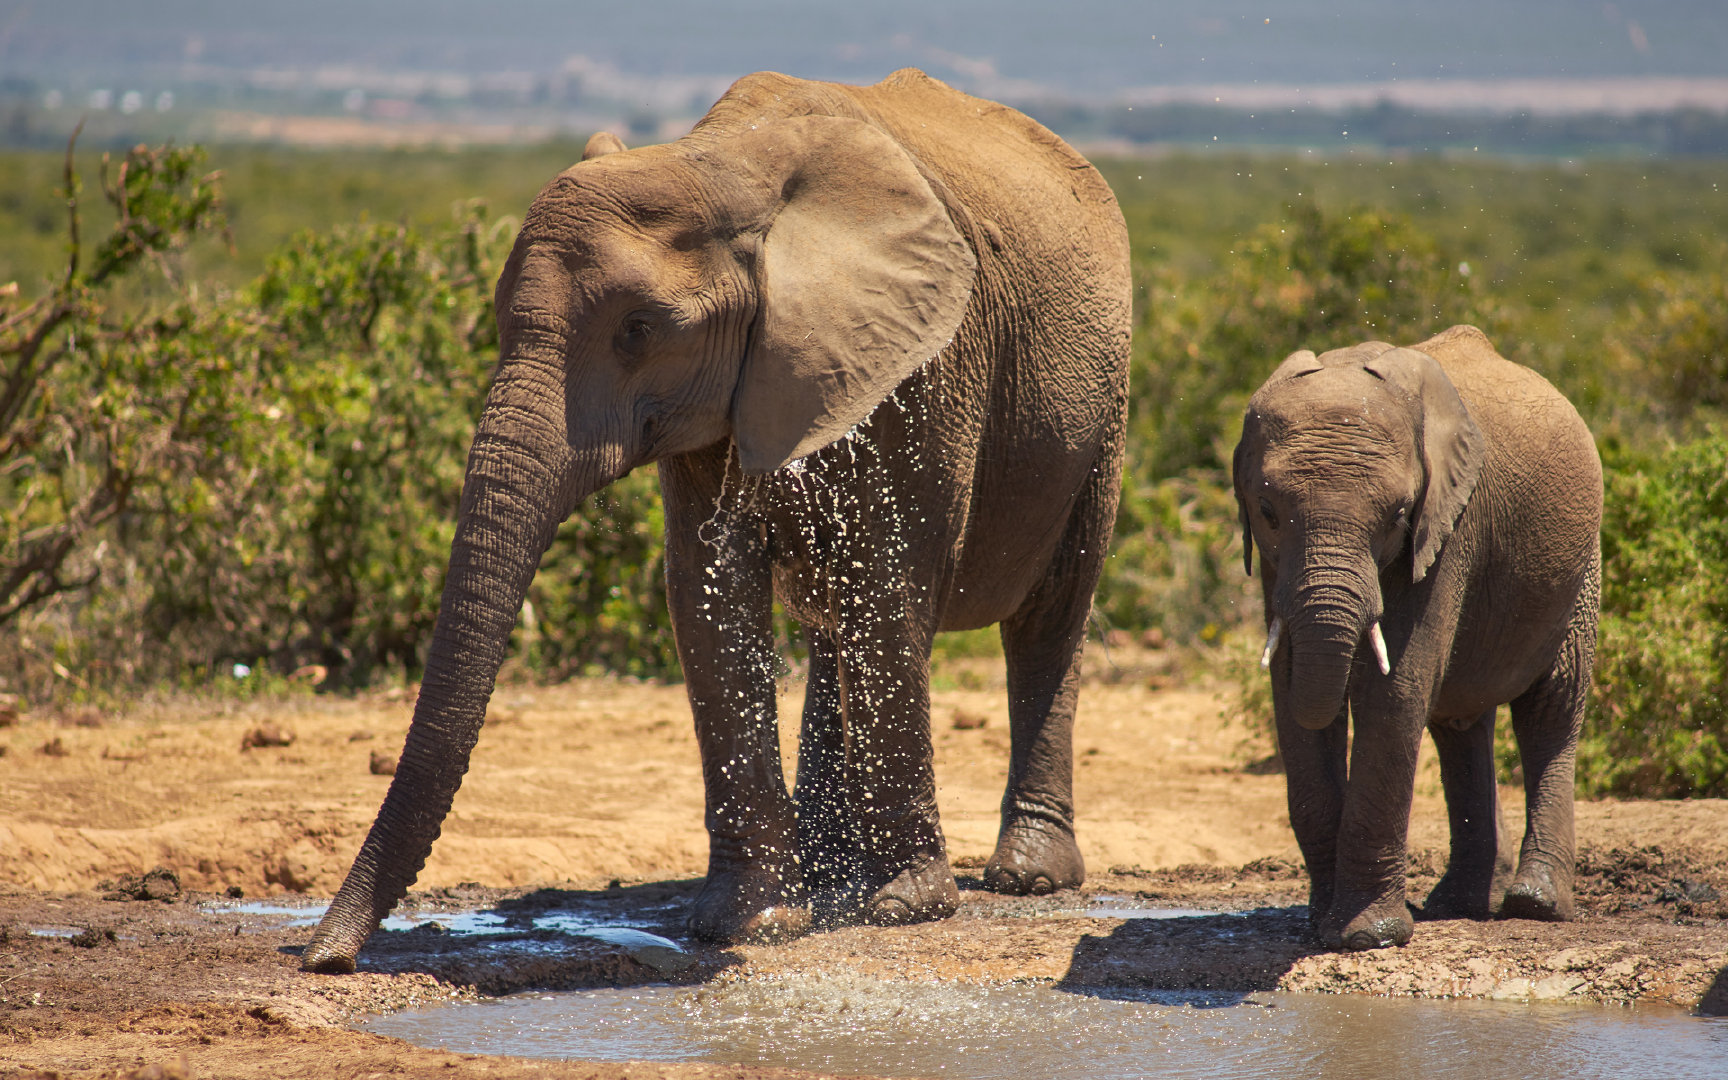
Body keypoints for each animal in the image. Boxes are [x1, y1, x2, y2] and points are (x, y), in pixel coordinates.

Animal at [297, 71, 1133, 974]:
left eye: (638, 331)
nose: (324, 958)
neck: (724, 165)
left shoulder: (925, 368)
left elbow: (889, 584)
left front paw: (906, 909)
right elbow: (708, 593)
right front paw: (752, 922)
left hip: (1102, 405)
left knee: (1050, 614)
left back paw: (1026, 878)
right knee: (834, 622)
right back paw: (830, 875)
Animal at [1237, 324, 1596, 946]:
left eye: (1398, 515)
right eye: (1266, 511)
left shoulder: (1448, 529)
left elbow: (1395, 691)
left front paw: (1365, 937)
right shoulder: (1272, 567)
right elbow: (1291, 694)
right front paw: (1320, 928)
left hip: (1581, 563)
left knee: (1551, 708)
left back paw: (1536, 904)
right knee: (1459, 724)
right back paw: (1460, 904)